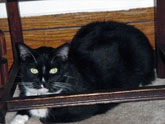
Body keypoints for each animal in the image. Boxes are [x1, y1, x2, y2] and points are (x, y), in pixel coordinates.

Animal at [10, 20, 155, 123]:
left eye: (54, 70)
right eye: (33, 70)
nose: (43, 82)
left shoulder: (86, 104)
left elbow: (49, 117)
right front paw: (17, 119)